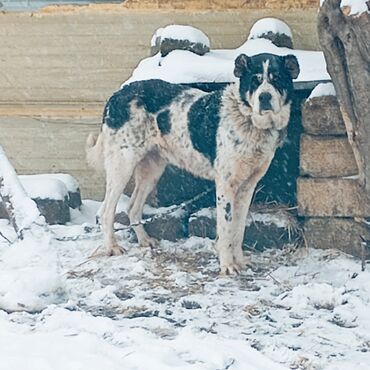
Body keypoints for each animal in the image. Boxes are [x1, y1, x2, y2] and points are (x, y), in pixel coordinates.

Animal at [87, 53, 300, 274]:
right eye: (255, 80)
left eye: (276, 79)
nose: (264, 97)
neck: (248, 120)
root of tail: (116, 95)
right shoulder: (225, 186)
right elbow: (226, 230)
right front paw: (227, 266)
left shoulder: (247, 187)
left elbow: (238, 230)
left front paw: (240, 262)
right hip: (122, 165)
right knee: (105, 212)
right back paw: (112, 247)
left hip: (151, 170)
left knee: (133, 208)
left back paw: (145, 240)